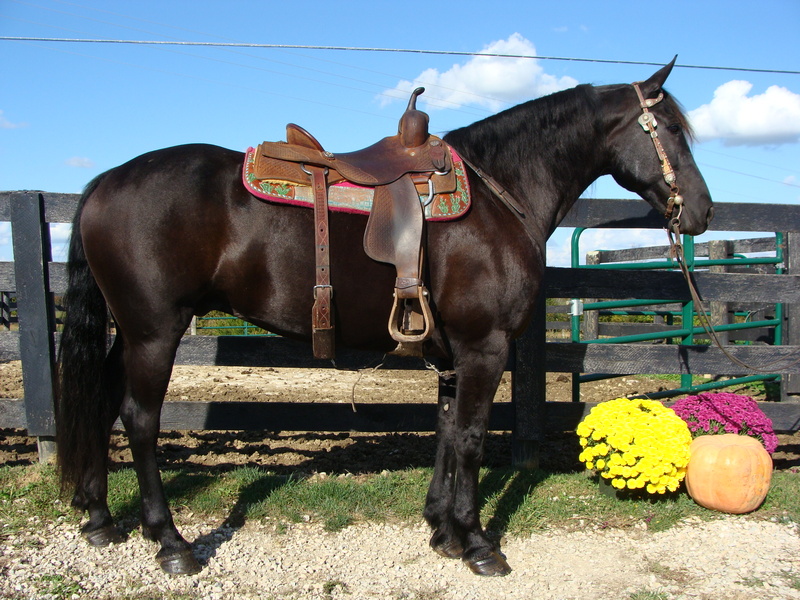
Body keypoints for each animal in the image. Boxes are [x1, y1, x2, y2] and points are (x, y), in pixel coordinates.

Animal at [55, 59, 713, 577]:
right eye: (671, 130)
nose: (703, 212)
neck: (499, 196)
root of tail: (106, 181)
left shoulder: (452, 354)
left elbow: (447, 431)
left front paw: (442, 530)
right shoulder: (486, 347)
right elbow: (472, 438)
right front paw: (478, 543)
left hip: (129, 332)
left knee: (101, 402)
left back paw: (100, 519)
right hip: (154, 332)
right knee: (139, 419)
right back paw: (171, 543)